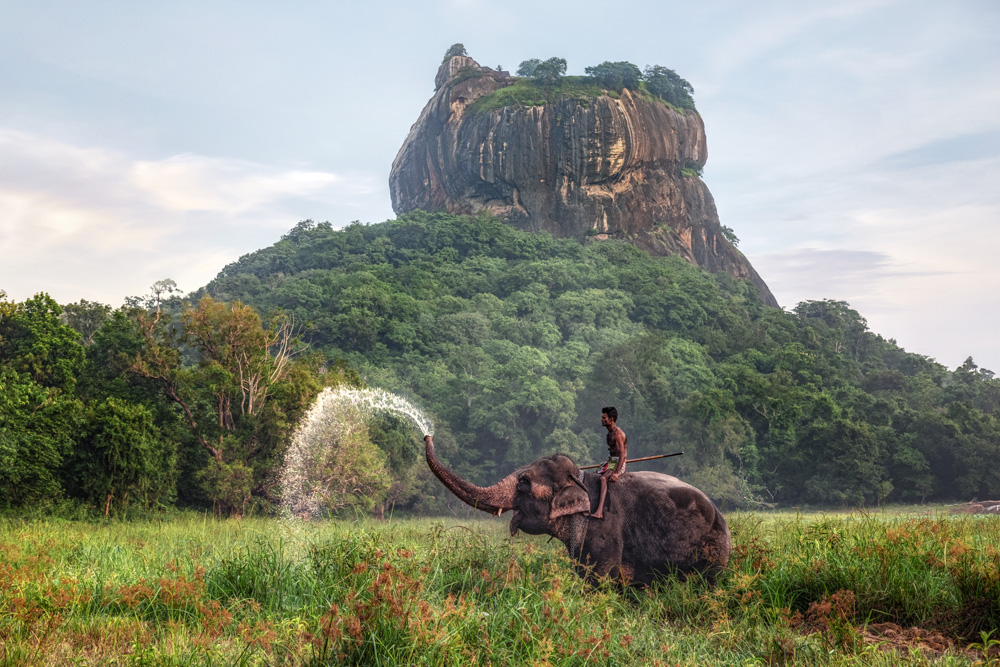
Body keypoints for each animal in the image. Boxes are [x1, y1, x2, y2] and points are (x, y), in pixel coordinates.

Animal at [422, 434, 728, 584]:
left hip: (713, 550)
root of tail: (721, 515)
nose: (427, 435)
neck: (582, 480)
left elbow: (599, 579)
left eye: (523, 482)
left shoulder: (605, 528)